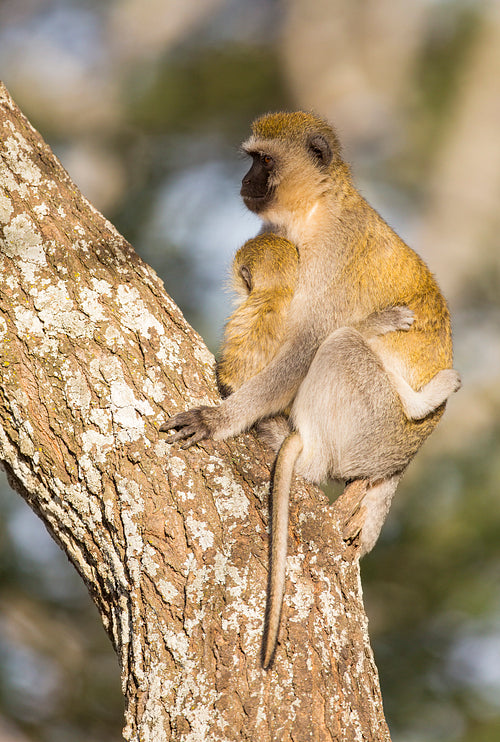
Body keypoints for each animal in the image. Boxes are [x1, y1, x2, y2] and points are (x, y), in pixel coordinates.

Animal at [161, 113, 460, 672]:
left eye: (263, 160)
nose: (245, 181)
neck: (314, 208)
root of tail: (401, 460)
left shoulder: (334, 250)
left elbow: (309, 341)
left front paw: (218, 420)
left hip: (375, 426)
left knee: (340, 344)